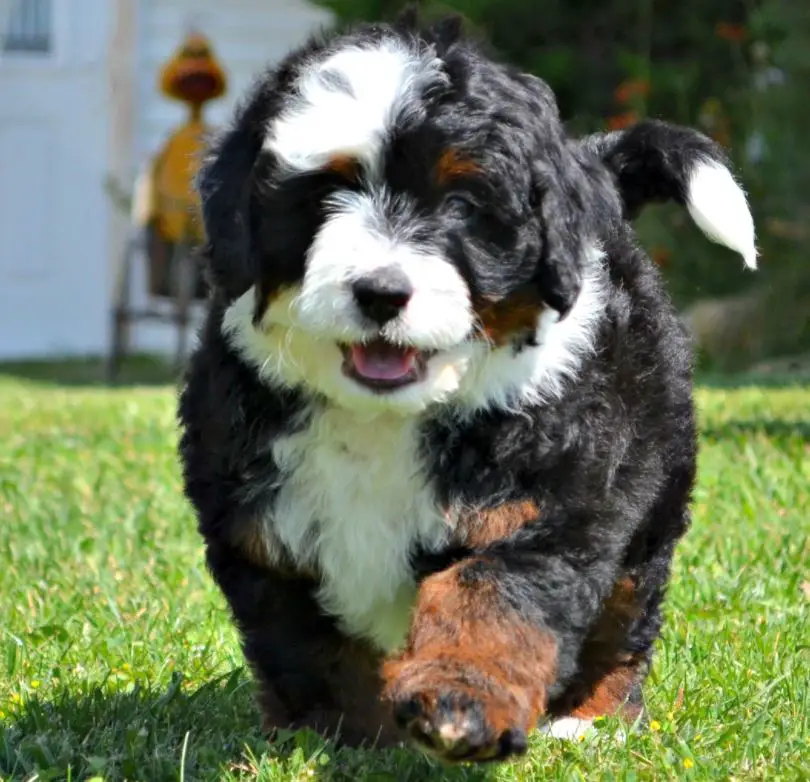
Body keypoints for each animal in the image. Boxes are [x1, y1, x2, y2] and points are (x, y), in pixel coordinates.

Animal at [175, 9, 752, 764]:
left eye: (462, 203)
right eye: (324, 195)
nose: (381, 292)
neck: (383, 419)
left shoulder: (538, 507)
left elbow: (488, 604)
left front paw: (460, 705)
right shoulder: (259, 530)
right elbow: (311, 651)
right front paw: (345, 736)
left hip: (650, 488)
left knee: (627, 610)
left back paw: (591, 716)